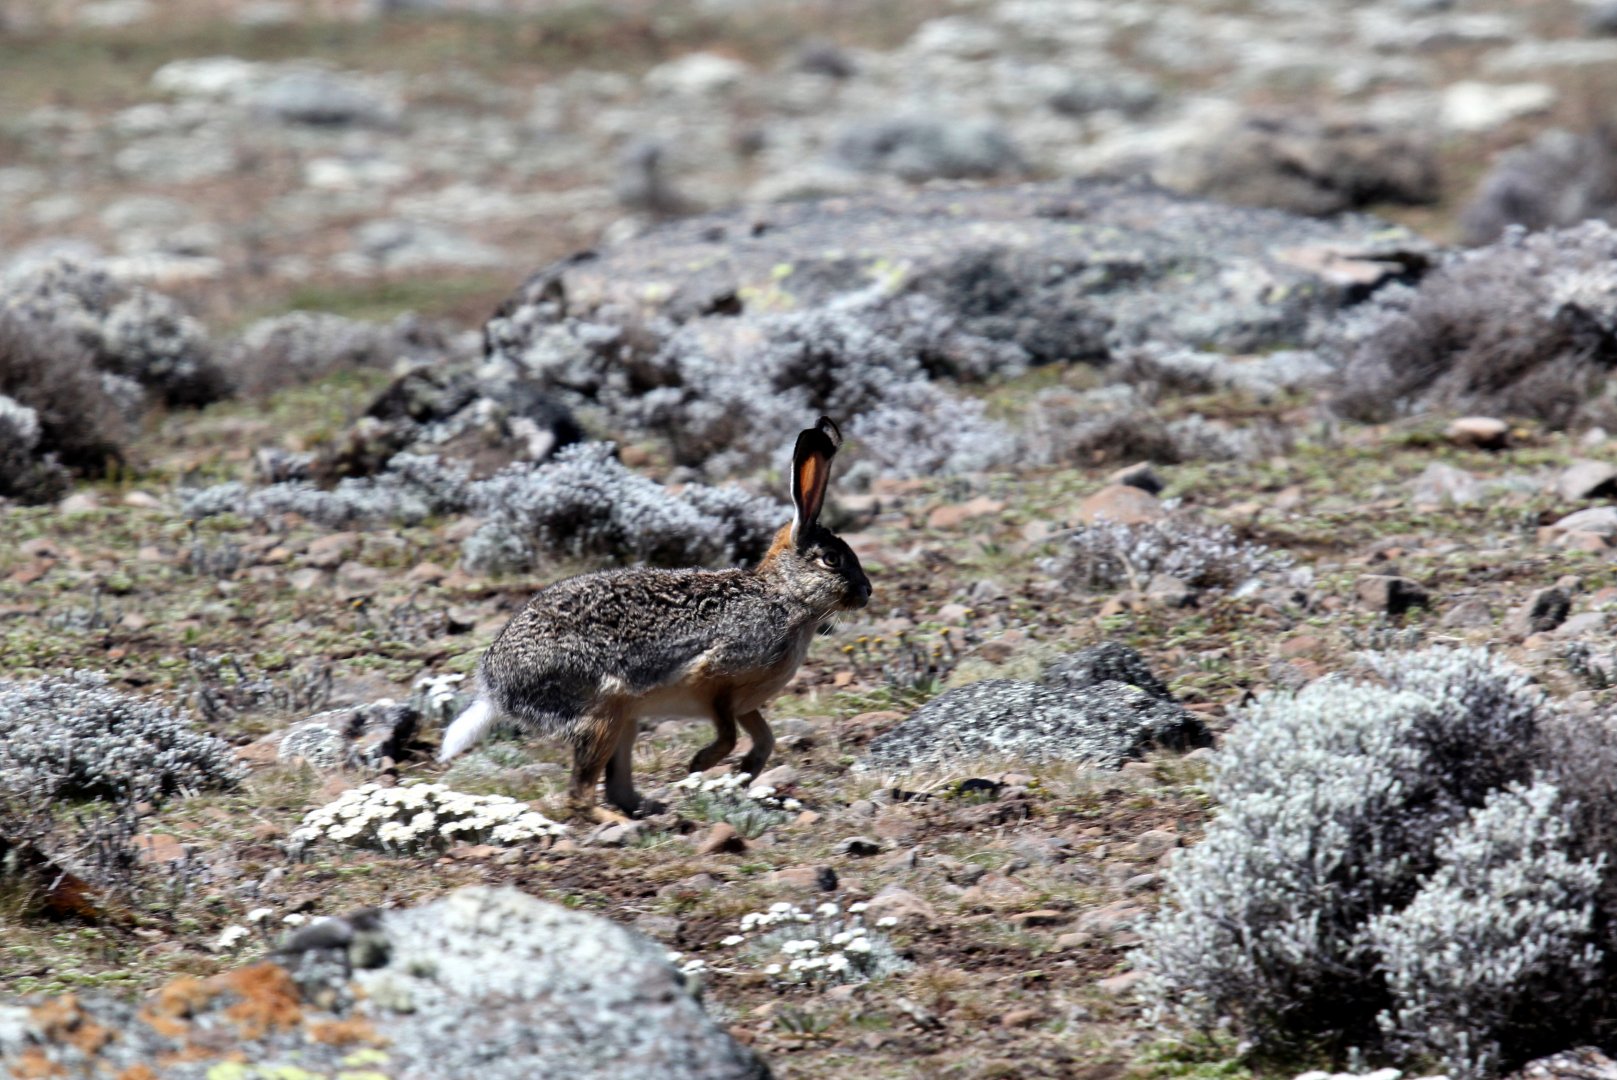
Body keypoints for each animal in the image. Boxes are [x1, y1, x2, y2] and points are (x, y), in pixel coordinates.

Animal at [437, 416, 871, 822]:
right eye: (831, 559)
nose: (867, 591)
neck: (785, 597)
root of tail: (495, 684)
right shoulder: (716, 679)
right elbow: (729, 734)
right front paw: (700, 763)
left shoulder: (746, 702)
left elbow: (765, 738)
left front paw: (746, 773)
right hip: (600, 711)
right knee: (580, 794)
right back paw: (622, 821)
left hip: (624, 720)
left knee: (616, 787)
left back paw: (652, 810)